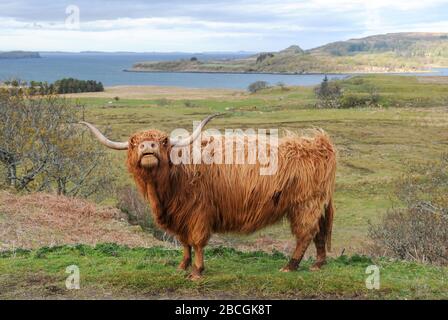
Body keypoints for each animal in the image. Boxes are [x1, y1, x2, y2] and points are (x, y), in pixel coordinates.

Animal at [80, 115, 334, 280]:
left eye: (163, 141)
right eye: (133, 142)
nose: (147, 146)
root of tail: (319, 144)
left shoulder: (198, 213)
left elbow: (197, 242)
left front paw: (197, 271)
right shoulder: (179, 216)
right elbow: (184, 242)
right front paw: (182, 266)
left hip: (305, 204)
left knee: (306, 234)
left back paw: (290, 266)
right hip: (316, 205)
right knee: (319, 232)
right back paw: (318, 264)